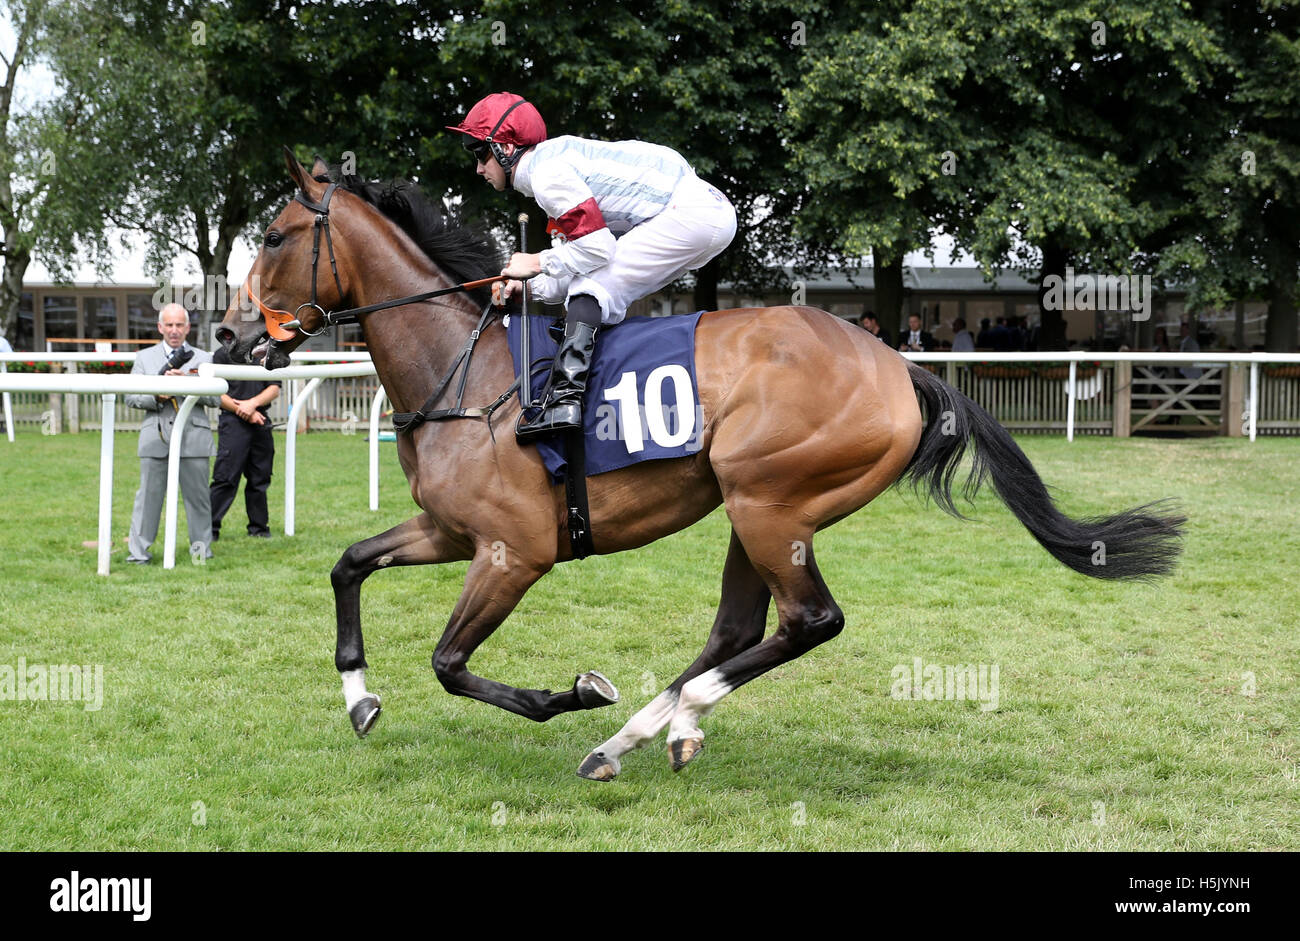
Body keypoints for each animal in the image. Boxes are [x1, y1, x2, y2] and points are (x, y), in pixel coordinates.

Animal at [220, 152, 1190, 779]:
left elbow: (451, 662)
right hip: (752, 507)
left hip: (772, 500)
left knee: (810, 621)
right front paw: (358, 697)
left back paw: (663, 718)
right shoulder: (451, 529)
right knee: (739, 626)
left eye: (272, 234)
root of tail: (897, 365)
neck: (468, 371)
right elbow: (349, 565)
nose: (229, 337)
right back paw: (636, 737)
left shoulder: (513, 550)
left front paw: (576, 691)